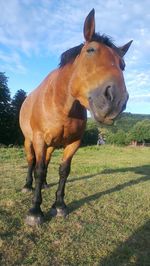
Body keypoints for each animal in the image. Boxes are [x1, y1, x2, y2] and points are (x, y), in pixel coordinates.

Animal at [19, 8, 132, 225]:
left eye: (122, 64)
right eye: (91, 50)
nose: (116, 100)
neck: (61, 105)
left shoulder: (74, 142)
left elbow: (63, 170)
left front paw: (59, 206)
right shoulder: (39, 139)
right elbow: (38, 169)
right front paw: (35, 211)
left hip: (51, 144)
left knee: (46, 162)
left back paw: (44, 185)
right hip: (29, 140)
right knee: (32, 162)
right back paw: (28, 186)